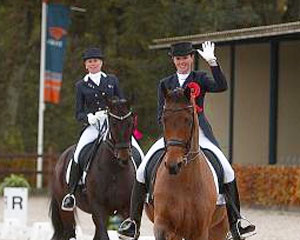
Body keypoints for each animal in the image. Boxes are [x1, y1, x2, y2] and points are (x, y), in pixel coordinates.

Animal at [50, 98, 136, 240]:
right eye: (113, 123)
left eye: (130, 123)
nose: (123, 157)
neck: (114, 170)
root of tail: (62, 157)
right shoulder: (98, 208)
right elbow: (104, 235)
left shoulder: (126, 208)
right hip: (65, 210)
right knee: (69, 232)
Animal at [145, 87, 227, 240]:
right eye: (164, 120)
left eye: (188, 121)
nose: (173, 165)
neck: (185, 181)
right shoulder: (164, 226)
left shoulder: (200, 231)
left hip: (219, 229)